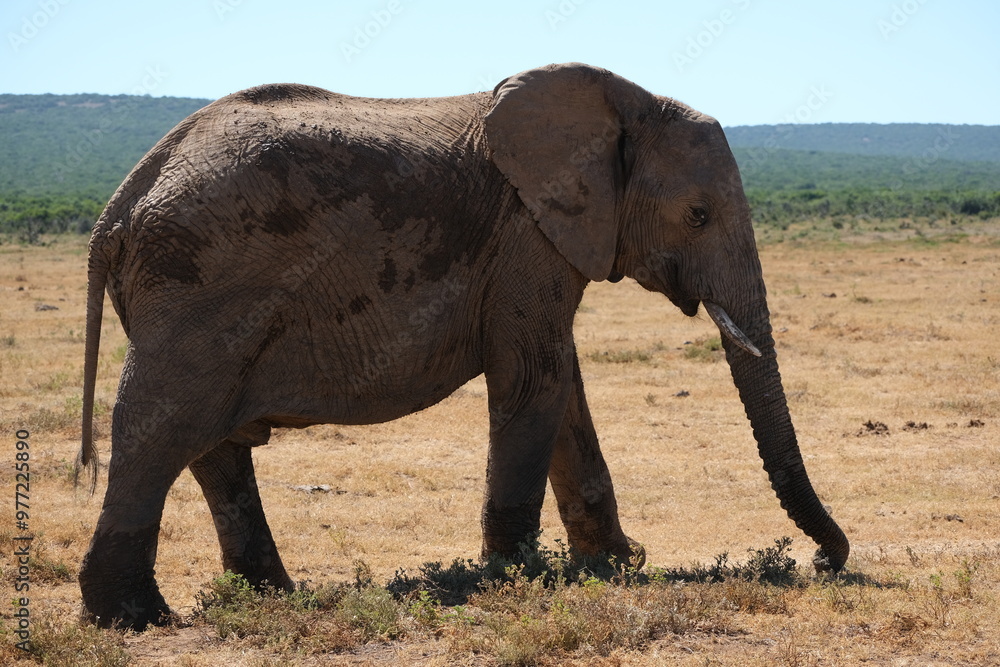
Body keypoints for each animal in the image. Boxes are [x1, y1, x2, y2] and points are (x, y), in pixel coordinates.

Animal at [76, 62, 849, 629]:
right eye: (697, 215)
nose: (825, 562)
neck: (628, 104)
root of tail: (119, 204)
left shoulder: (543, 238)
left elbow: (562, 384)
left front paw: (615, 565)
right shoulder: (526, 234)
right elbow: (534, 378)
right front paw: (516, 578)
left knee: (215, 446)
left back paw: (271, 596)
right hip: (199, 285)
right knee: (160, 426)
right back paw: (134, 618)